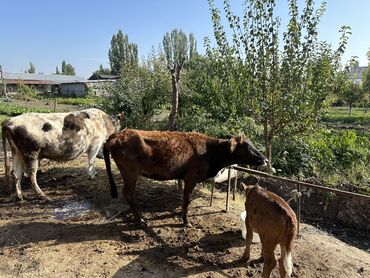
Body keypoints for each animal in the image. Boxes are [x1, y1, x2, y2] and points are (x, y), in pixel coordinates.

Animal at [102, 129, 268, 225]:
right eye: (247, 147)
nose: (266, 160)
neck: (209, 152)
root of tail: (114, 136)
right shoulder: (191, 178)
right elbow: (187, 199)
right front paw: (185, 220)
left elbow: (184, 199)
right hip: (130, 172)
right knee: (128, 193)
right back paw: (139, 219)